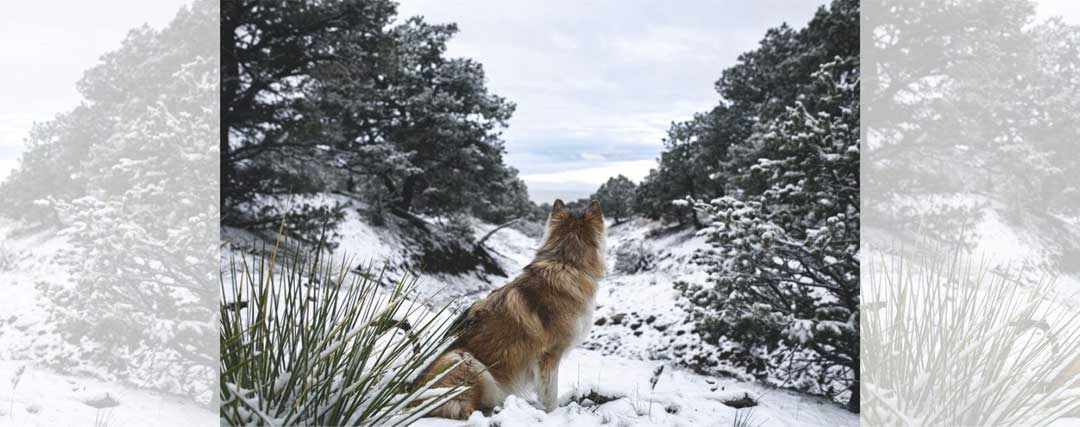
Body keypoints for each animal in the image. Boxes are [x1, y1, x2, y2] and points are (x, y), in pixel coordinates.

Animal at [416, 199, 604, 417]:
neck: (565, 263)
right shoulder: (549, 356)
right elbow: (550, 395)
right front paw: (554, 414)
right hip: (465, 361)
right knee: (465, 410)